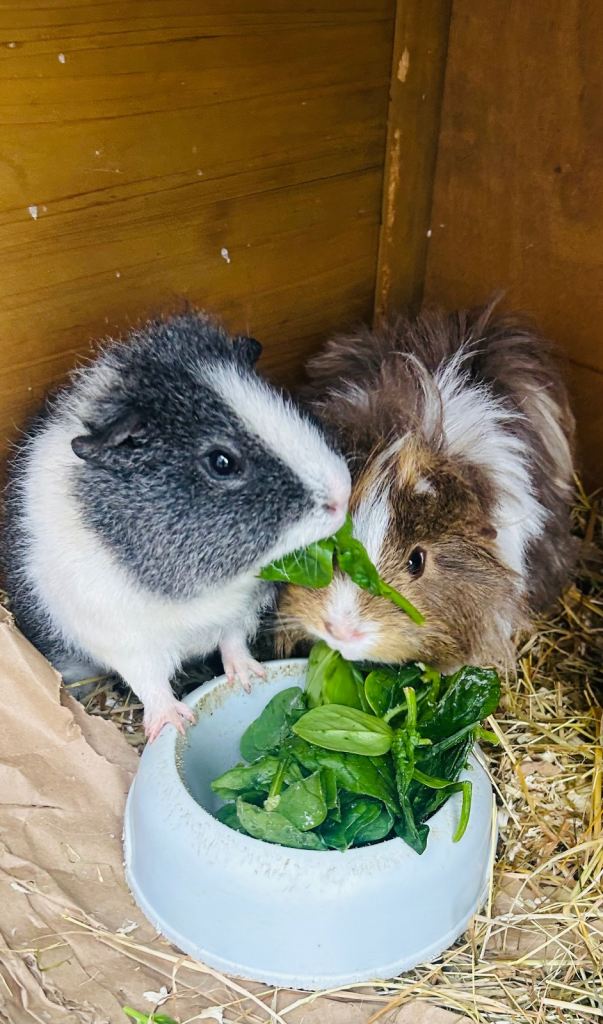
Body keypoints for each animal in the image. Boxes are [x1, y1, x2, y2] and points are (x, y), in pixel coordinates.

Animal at [3, 311, 351, 740]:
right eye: (221, 461)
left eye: (287, 404)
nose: (342, 495)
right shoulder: (125, 639)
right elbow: (151, 683)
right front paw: (173, 723)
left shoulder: (240, 612)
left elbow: (234, 643)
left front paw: (249, 677)